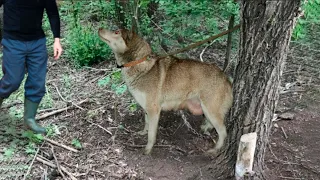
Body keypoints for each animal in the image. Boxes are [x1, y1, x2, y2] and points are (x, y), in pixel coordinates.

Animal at [98, 28, 232, 155]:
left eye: (116, 32)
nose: (99, 28)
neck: (139, 62)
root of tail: (226, 78)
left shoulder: (153, 110)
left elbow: (151, 135)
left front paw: (148, 149)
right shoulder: (147, 108)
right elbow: (146, 123)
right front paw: (143, 132)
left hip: (211, 111)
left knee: (223, 132)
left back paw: (215, 149)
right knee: (212, 126)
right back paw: (205, 129)